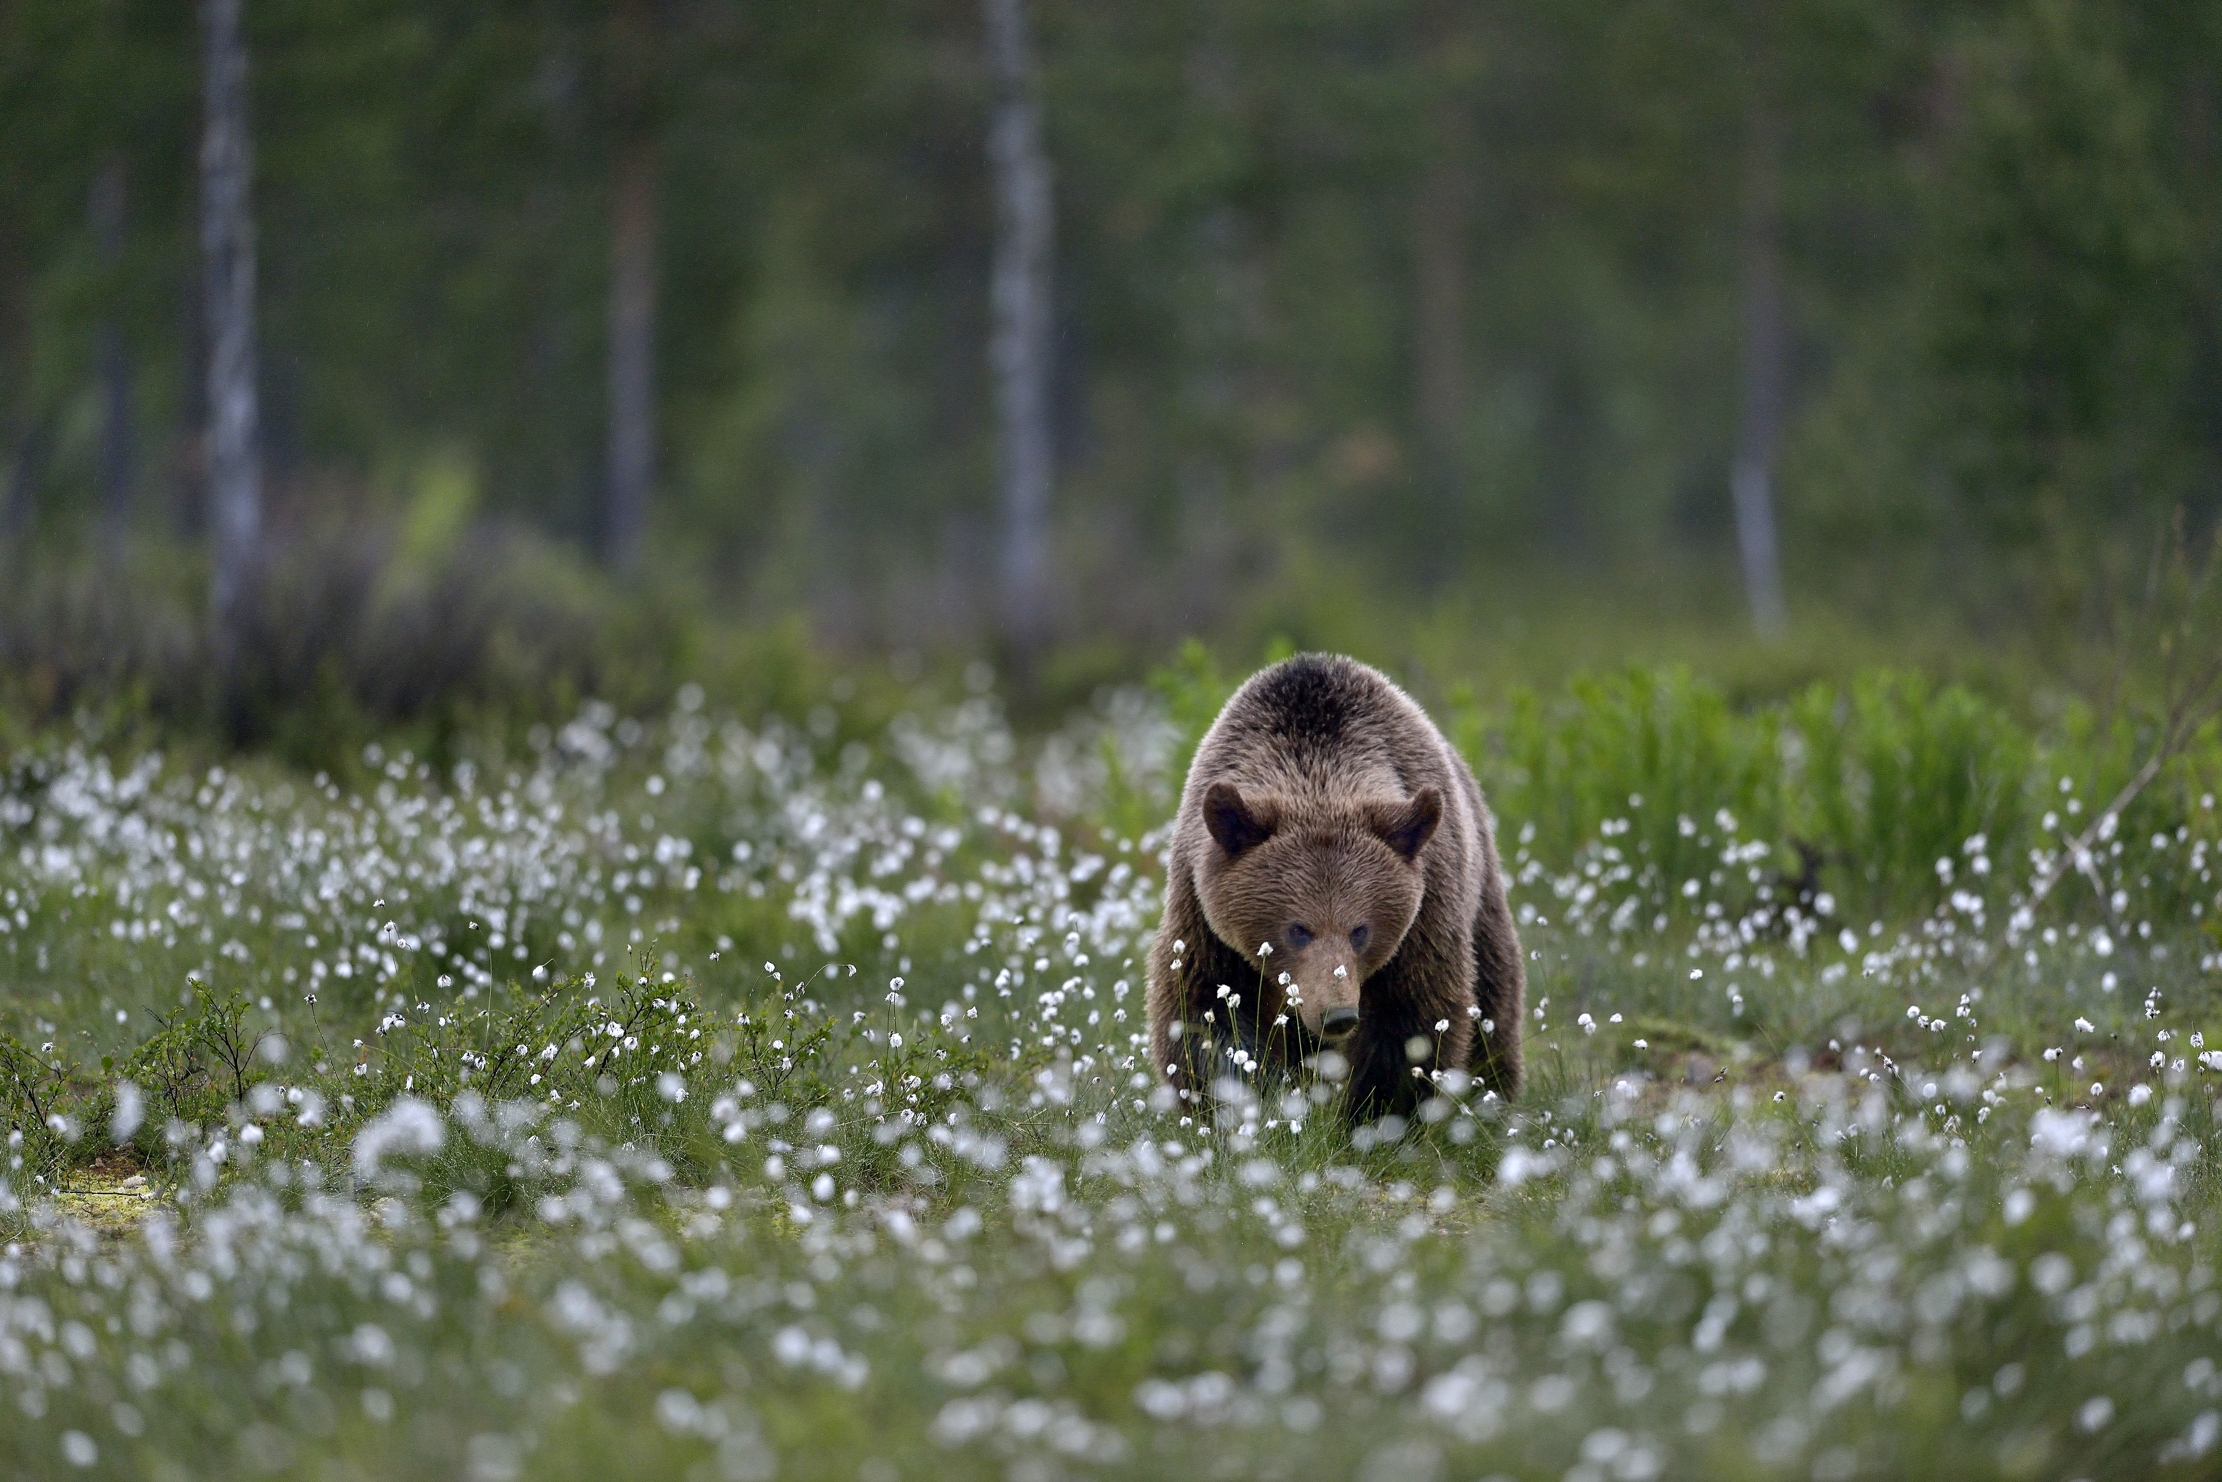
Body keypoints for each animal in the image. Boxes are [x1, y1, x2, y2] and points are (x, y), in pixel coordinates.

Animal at [1145, 653, 1524, 1120]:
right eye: (1297, 929)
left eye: (1360, 929)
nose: (1338, 1015)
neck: (1317, 765)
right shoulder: (1203, 912)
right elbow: (1203, 1009)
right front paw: (1241, 1100)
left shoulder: (1425, 911)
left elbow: (1411, 1020)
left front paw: (1377, 1114)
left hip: (1480, 891)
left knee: (1493, 997)